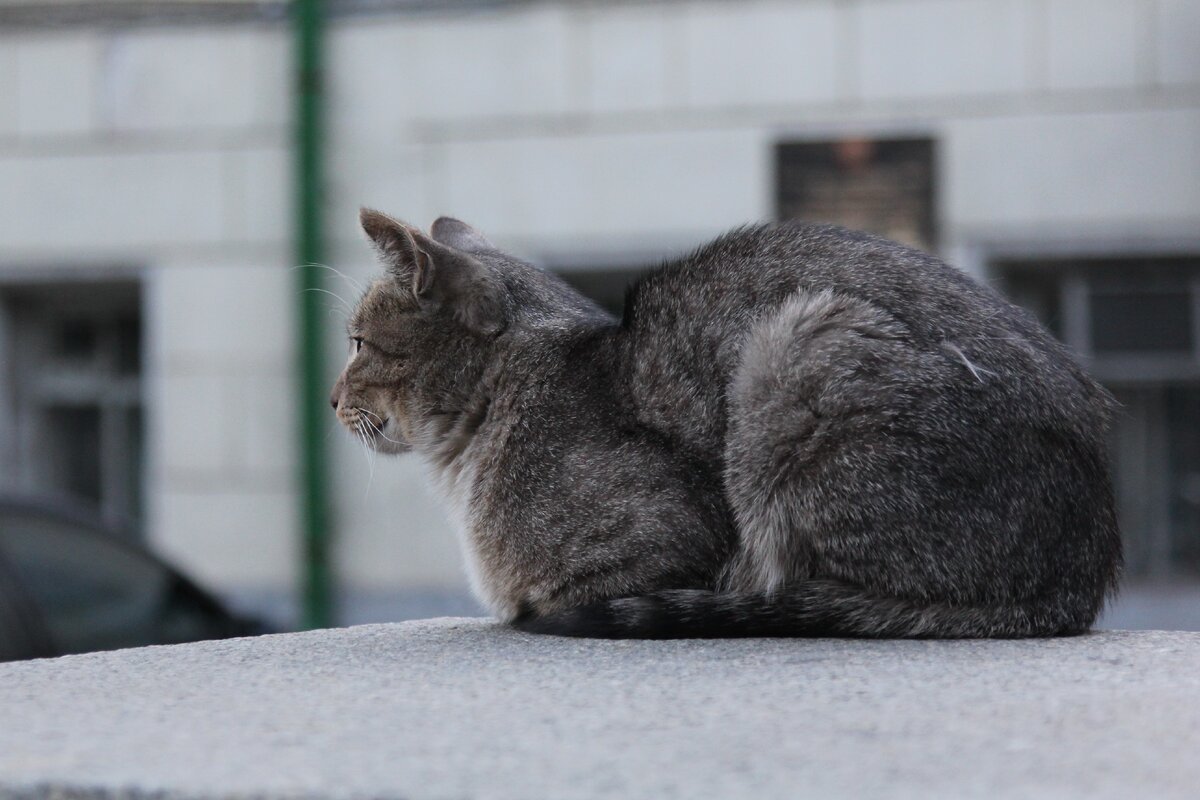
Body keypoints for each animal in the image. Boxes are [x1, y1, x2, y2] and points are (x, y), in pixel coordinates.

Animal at [331, 209, 1123, 642]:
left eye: (358, 344)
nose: (333, 399)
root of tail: (1081, 575)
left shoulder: (669, 544)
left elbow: (555, 594)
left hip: (795, 355)